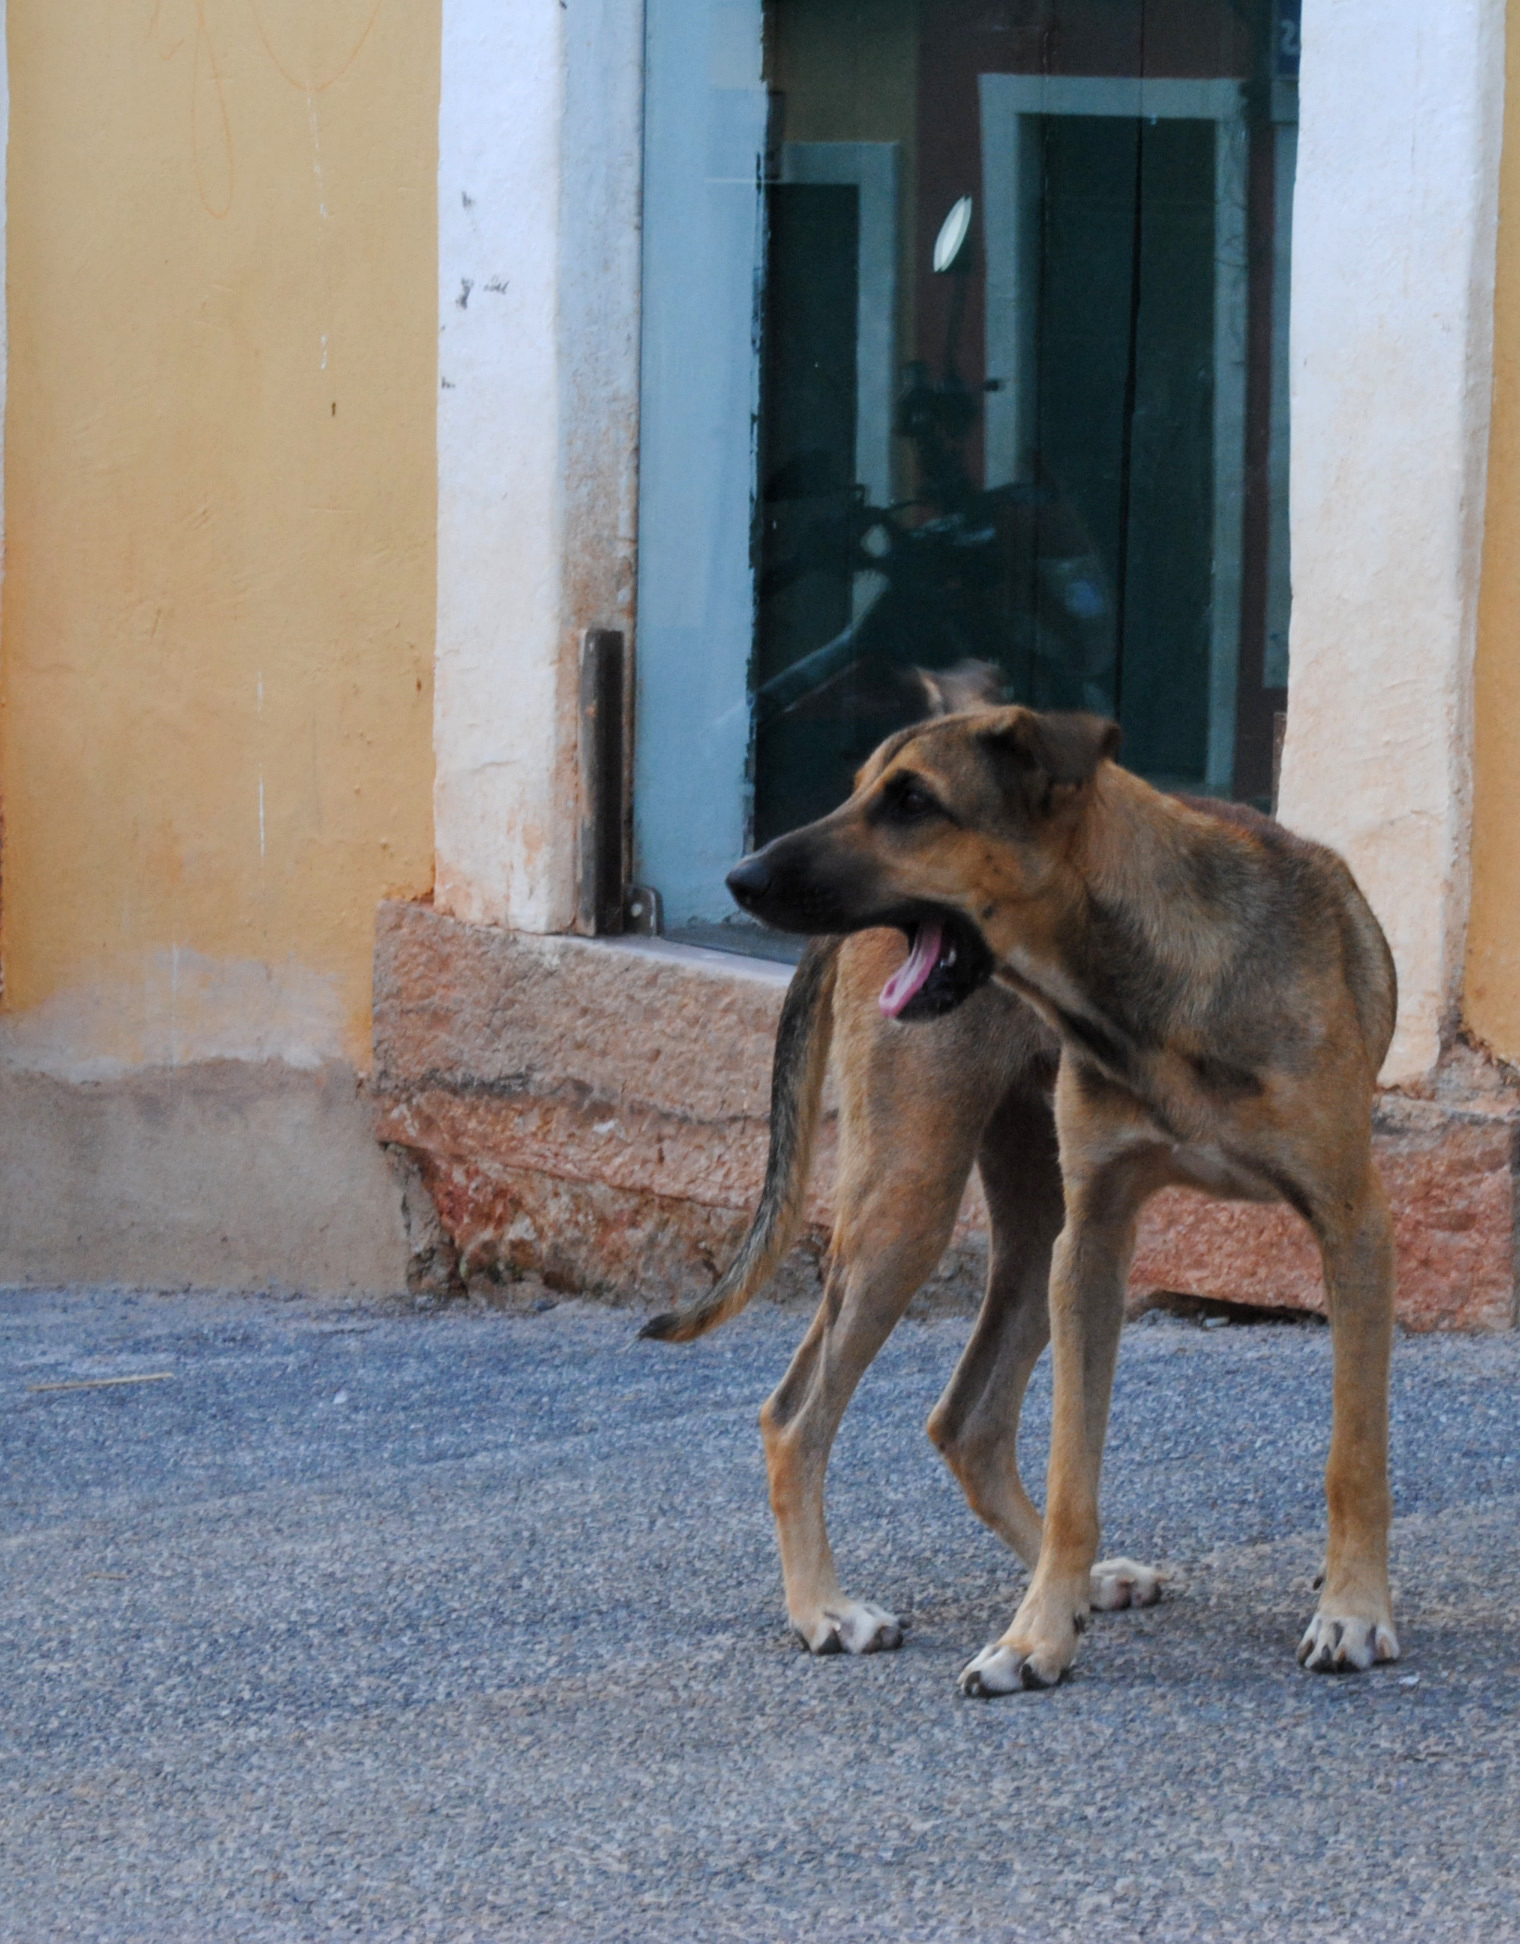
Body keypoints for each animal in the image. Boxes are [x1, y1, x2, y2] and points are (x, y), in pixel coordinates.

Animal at [649, 707, 1399, 1695]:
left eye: (913, 801)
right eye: (861, 789)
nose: (744, 878)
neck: (1150, 984)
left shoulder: (1352, 1229)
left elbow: (1355, 1456)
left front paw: (1351, 1611)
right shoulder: (1093, 1245)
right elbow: (1075, 1466)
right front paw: (1036, 1637)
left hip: (1024, 1231)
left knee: (962, 1421)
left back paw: (1075, 1580)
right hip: (914, 1205)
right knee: (797, 1417)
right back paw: (827, 1611)